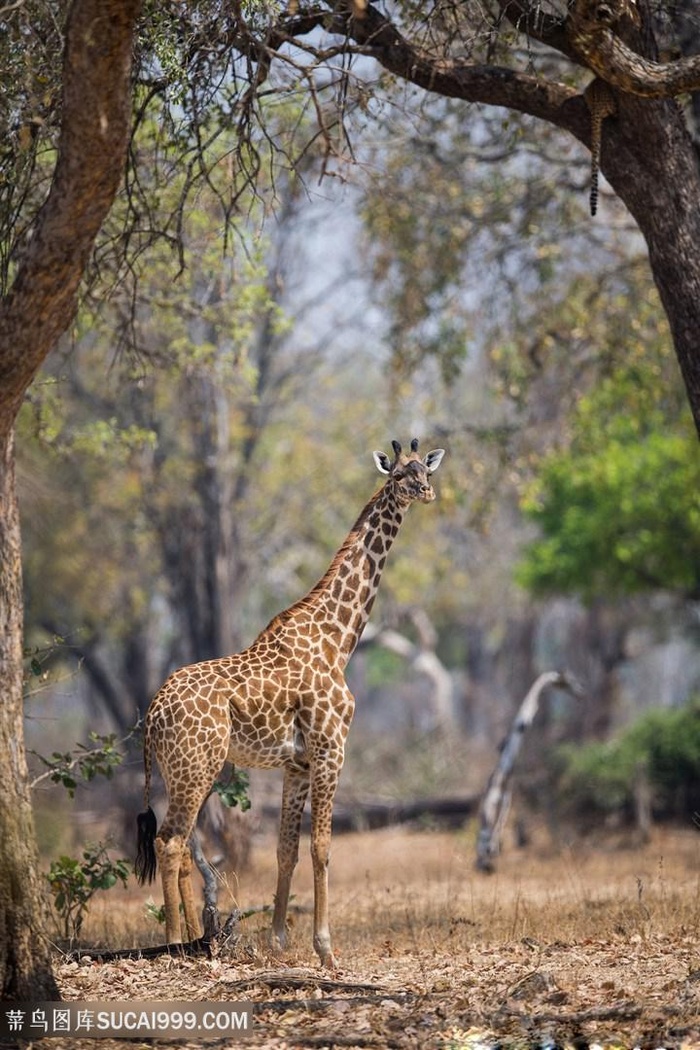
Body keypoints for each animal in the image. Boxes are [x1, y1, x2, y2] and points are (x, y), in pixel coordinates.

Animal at [134, 434, 447, 965]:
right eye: (399, 475)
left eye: (424, 469)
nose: (426, 492)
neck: (338, 638)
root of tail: (152, 715)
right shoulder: (330, 748)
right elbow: (322, 846)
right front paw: (326, 950)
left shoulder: (296, 762)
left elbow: (287, 849)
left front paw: (278, 941)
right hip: (197, 766)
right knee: (169, 841)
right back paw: (175, 944)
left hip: (184, 770)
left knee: (180, 845)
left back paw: (199, 939)